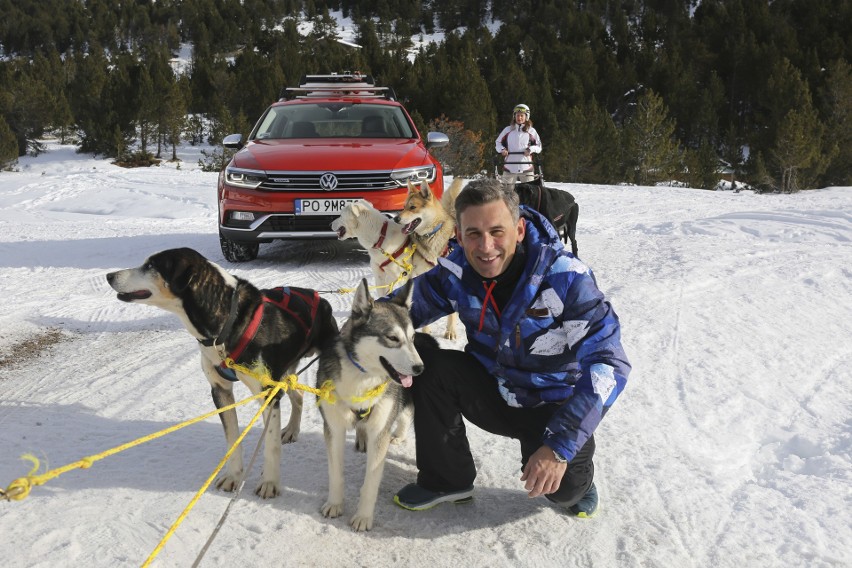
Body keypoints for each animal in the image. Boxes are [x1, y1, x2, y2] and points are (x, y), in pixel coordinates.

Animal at [109, 247, 340, 496]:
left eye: (151, 265)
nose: (109, 276)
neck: (225, 326)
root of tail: (320, 298)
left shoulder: (267, 393)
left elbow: (270, 444)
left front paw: (269, 482)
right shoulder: (220, 391)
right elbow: (232, 439)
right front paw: (233, 476)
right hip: (283, 375)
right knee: (297, 395)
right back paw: (291, 430)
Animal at [316, 278, 432, 532]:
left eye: (411, 338)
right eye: (392, 338)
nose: (420, 368)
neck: (362, 377)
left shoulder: (380, 430)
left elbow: (370, 482)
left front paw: (363, 517)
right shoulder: (334, 428)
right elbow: (335, 473)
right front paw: (335, 504)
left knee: (405, 415)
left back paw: (398, 435)